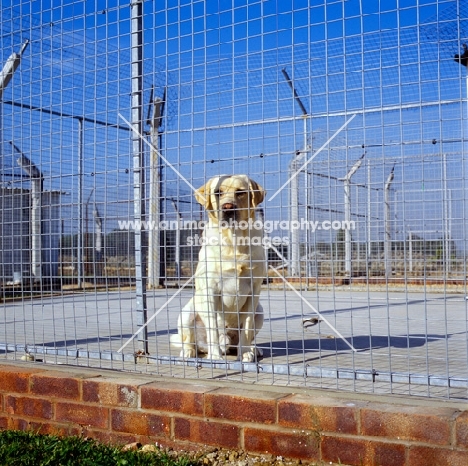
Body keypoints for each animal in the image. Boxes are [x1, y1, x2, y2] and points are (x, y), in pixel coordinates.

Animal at [171, 175, 266, 360]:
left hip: (260, 311)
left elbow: (247, 327)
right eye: (218, 193)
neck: (234, 241)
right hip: (187, 313)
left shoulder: (254, 290)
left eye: (240, 192)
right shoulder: (210, 290)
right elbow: (213, 329)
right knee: (192, 340)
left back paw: (252, 349)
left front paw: (245, 352)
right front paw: (215, 357)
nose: (228, 207)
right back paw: (189, 351)